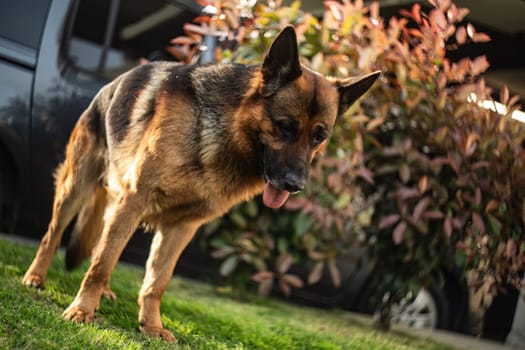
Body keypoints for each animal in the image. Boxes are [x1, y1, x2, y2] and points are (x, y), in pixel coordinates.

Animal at [22, 26, 378, 342]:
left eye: (319, 137)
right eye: (284, 126)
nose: (295, 185)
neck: (226, 131)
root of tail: (109, 86)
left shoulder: (182, 226)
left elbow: (157, 281)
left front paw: (151, 326)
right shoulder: (134, 202)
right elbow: (101, 265)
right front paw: (82, 310)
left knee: (101, 245)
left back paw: (106, 292)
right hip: (75, 190)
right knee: (54, 236)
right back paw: (35, 277)